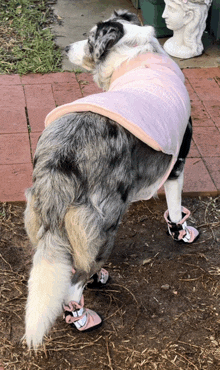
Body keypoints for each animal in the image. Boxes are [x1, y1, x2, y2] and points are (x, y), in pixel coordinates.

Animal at [24, 10, 199, 348]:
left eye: (89, 39)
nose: (67, 49)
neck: (136, 57)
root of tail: (61, 155)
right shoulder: (177, 165)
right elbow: (174, 211)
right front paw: (181, 232)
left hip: (46, 220)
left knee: (73, 261)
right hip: (105, 226)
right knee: (73, 283)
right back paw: (82, 316)